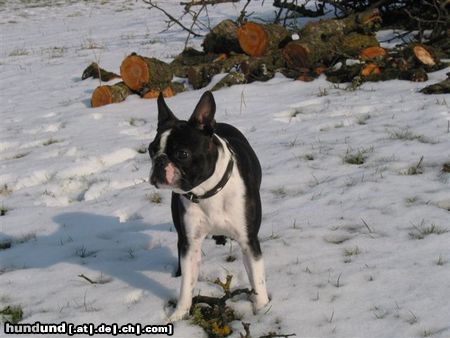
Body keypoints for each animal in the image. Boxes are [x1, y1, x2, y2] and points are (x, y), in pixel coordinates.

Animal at [149, 90, 268, 322]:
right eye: (150, 150)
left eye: (182, 154)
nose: (159, 161)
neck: (207, 192)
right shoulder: (191, 245)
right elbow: (187, 284)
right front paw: (179, 315)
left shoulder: (249, 241)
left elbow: (257, 279)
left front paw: (263, 310)